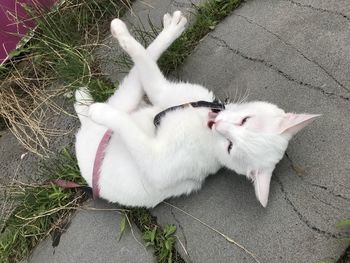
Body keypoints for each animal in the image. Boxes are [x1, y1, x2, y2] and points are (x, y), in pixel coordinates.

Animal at [74, 11, 320, 209]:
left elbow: (127, 120)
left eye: (230, 147)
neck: (203, 123)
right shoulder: (168, 94)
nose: (217, 124)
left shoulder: (156, 163)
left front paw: (101, 113)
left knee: (120, 97)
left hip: (122, 104)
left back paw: (88, 104)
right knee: (142, 63)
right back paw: (170, 28)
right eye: (245, 120)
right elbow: (144, 59)